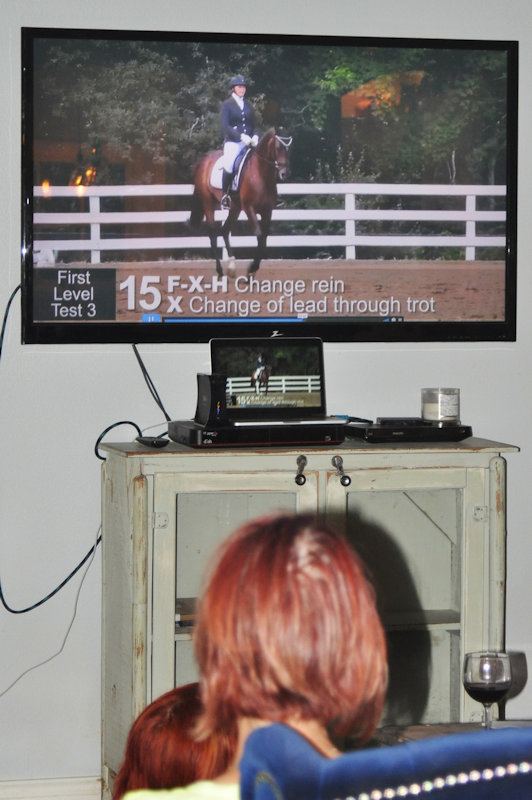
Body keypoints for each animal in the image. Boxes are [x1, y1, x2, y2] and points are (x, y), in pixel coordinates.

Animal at [189, 129, 292, 276]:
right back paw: (220, 271)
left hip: (235, 208)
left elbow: (264, 239)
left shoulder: (267, 211)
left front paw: (253, 269)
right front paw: (252, 268)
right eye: (278, 148)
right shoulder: (249, 208)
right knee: (213, 234)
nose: (285, 173)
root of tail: (204, 161)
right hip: (208, 203)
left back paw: (231, 267)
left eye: (288, 149)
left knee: (225, 230)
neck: (260, 174)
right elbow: (259, 234)